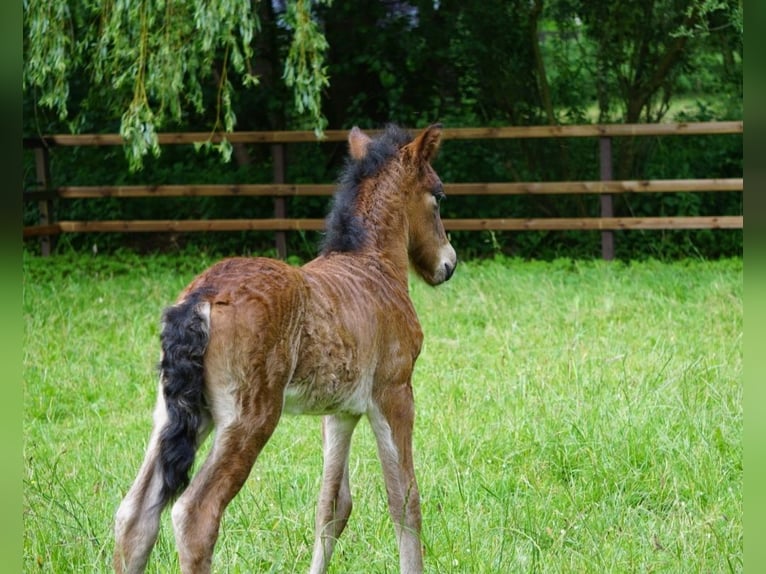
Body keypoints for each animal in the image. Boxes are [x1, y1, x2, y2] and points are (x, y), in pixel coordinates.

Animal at [113, 123, 457, 574]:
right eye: (438, 195)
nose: (448, 264)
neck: (373, 266)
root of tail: (202, 296)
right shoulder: (394, 393)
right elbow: (404, 500)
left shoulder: (341, 411)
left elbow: (332, 506)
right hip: (249, 418)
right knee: (195, 514)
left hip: (177, 414)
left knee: (134, 516)